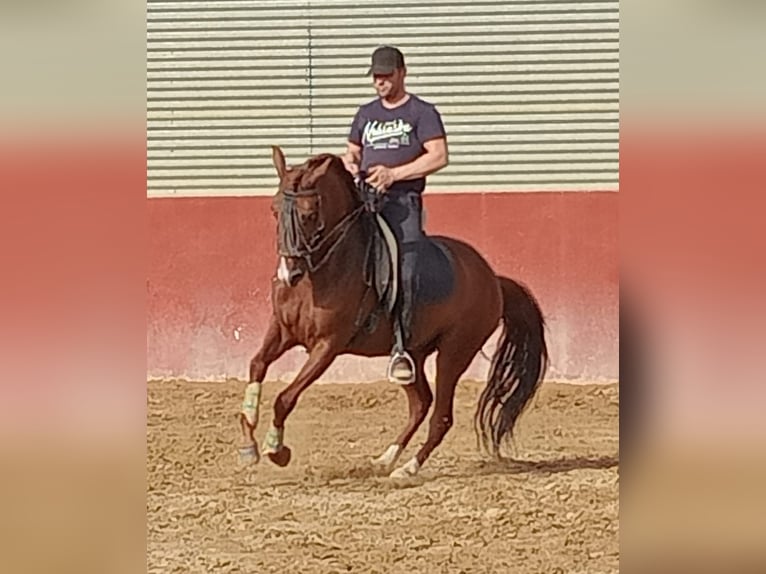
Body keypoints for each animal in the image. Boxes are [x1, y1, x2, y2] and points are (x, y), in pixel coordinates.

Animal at [237, 146, 548, 480]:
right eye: (273, 210)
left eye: (308, 215)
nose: (288, 274)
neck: (317, 274)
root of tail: (493, 280)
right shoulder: (282, 330)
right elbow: (256, 365)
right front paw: (248, 442)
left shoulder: (326, 346)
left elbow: (285, 398)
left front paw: (276, 450)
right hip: (415, 353)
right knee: (421, 404)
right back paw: (386, 458)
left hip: (455, 353)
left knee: (441, 416)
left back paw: (408, 469)